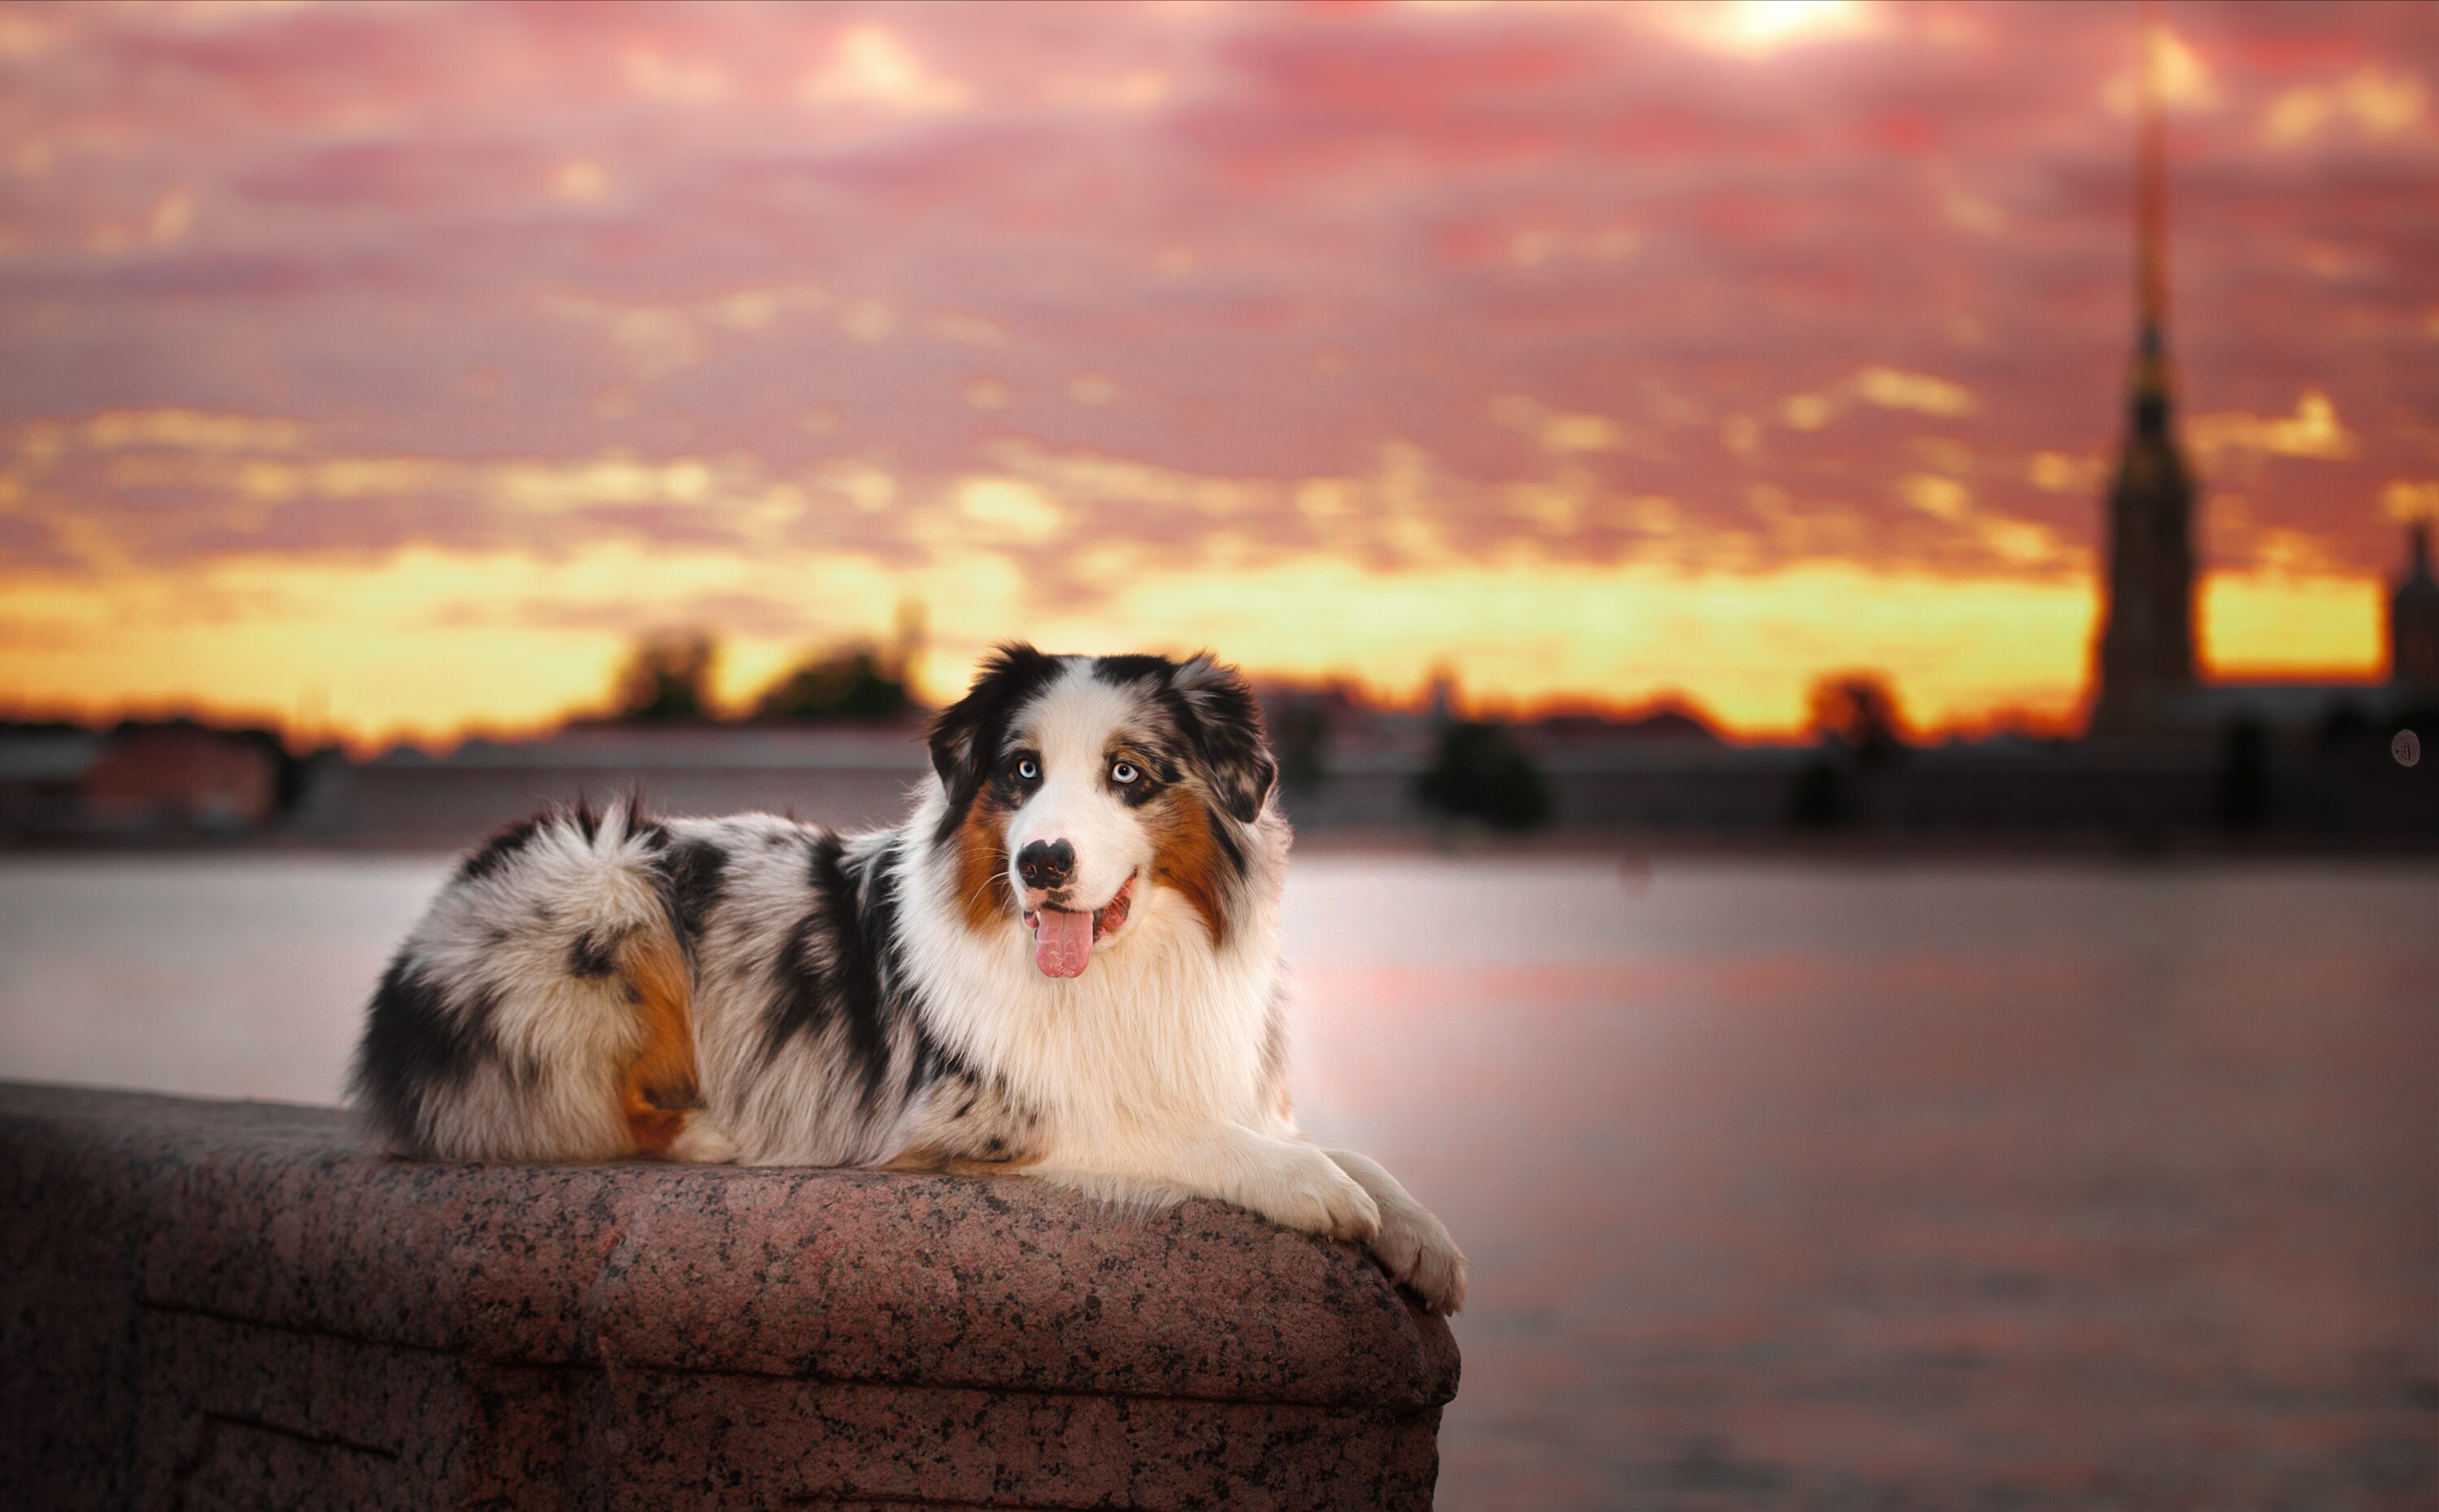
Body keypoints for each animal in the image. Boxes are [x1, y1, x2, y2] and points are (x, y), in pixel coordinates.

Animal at [349, 644, 1463, 1317]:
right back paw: (716, 1134)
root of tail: (411, 951)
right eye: (1021, 772)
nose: (1041, 863)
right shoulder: (980, 1113)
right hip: (610, 877)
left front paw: (1421, 1235)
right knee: (598, 1107)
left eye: (1129, 775)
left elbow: (1345, 1154)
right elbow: (1183, 1133)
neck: (1122, 968)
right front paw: (1310, 1189)